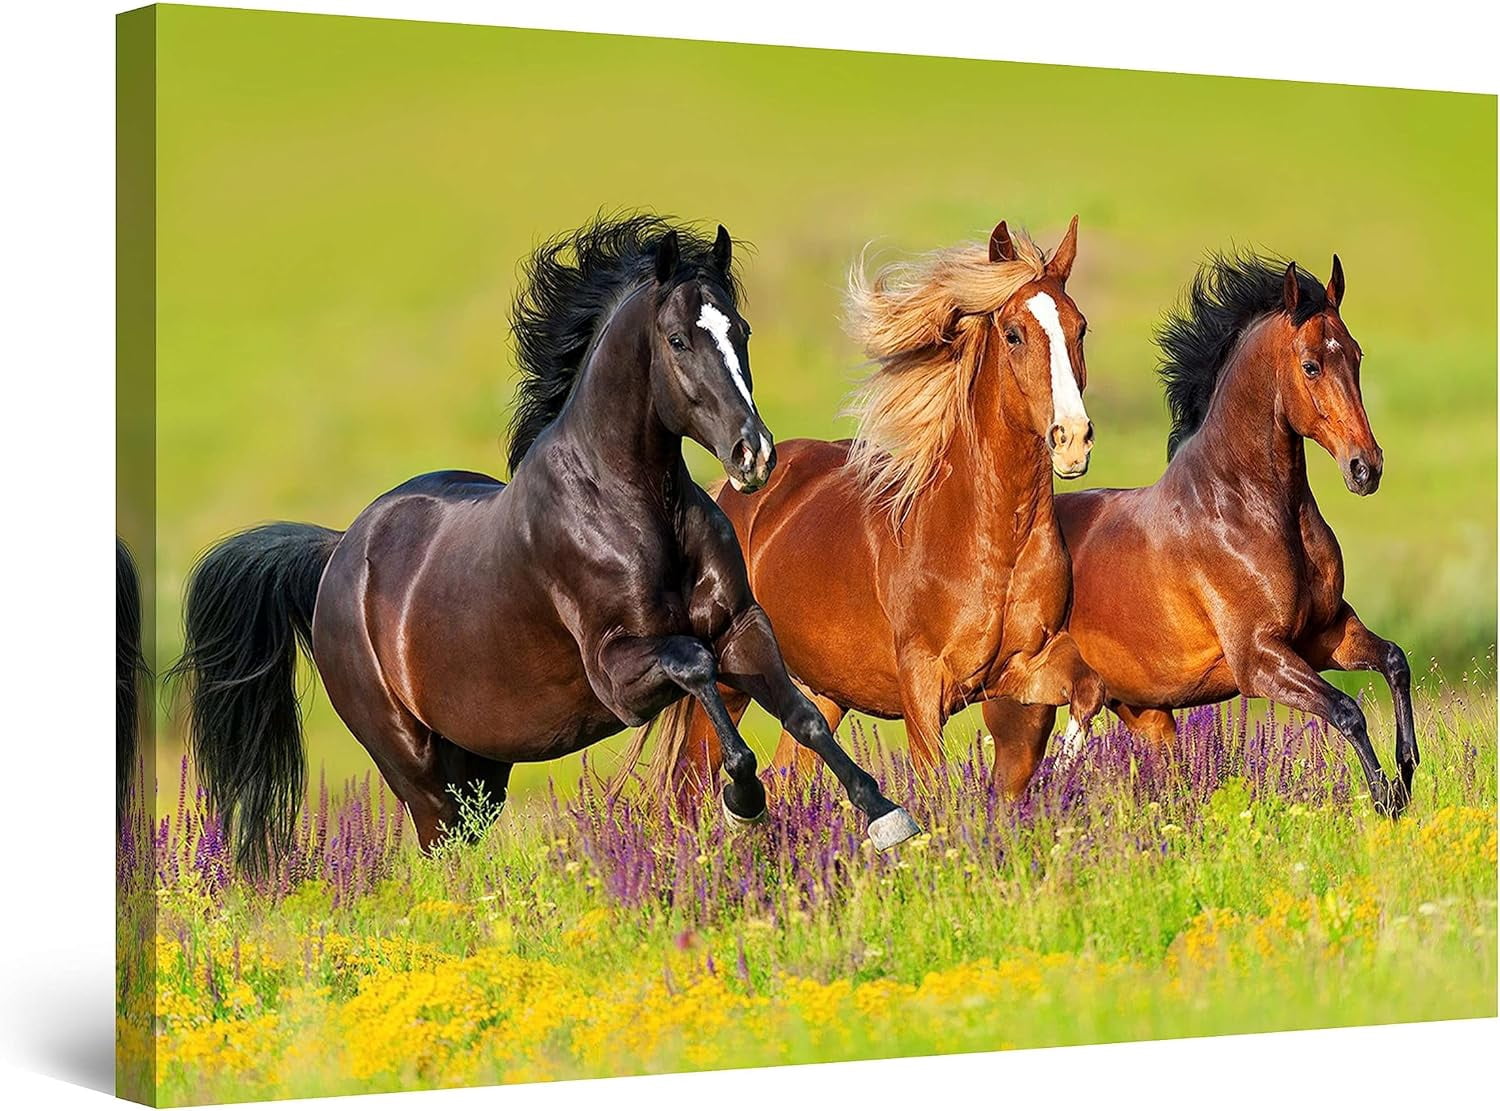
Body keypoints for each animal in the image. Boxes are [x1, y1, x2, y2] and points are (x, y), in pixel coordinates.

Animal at [171, 214, 920, 874]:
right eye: (678, 339)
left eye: (742, 329)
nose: (753, 453)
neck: (632, 507)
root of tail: (337, 556)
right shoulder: (620, 675)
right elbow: (697, 667)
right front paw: (744, 800)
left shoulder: (740, 625)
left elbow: (804, 715)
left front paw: (888, 817)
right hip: (413, 764)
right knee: (442, 850)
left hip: (479, 767)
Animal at [636, 217, 1107, 802]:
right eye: (1015, 333)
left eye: (1080, 328)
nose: (1073, 440)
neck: (994, 538)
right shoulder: (923, 686)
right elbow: (934, 784)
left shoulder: (1023, 665)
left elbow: (1088, 689)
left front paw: (1059, 771)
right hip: (729, 680)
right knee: (690, 783)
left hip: (824, 692)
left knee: (789, 775)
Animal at [982, 251, 1415, 814]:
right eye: (1311, 365)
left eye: (1357, 356)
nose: (1366, 468)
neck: (1245, 508)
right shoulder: (1260, 660)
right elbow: (1347, 711)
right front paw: (1386, 799)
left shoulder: (1326, 635)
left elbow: (1395, 661)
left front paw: (1407, 772)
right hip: (1025, 715)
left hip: (1146, 714)